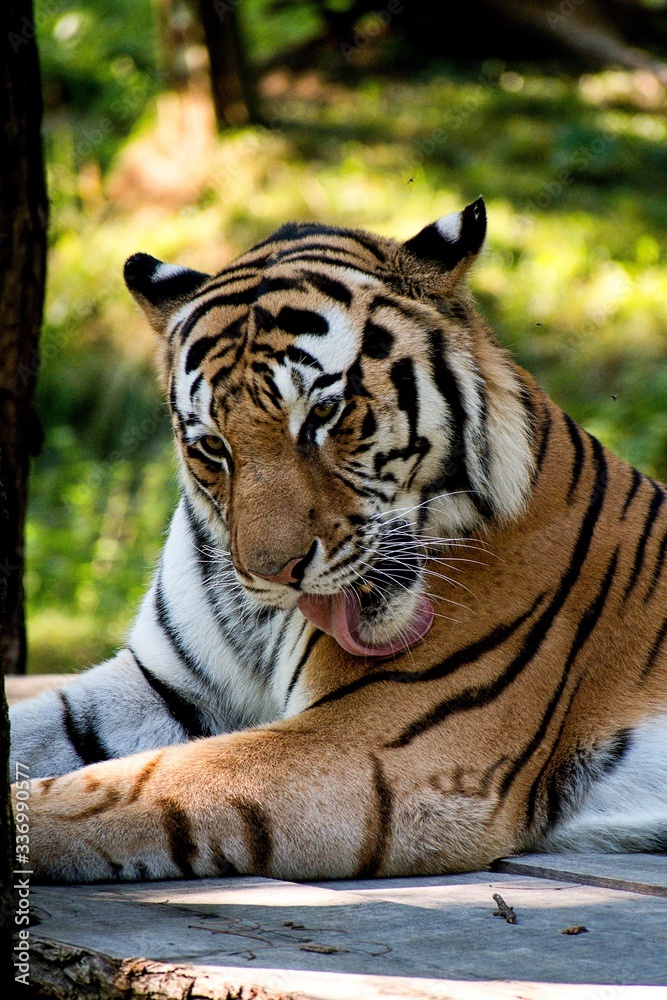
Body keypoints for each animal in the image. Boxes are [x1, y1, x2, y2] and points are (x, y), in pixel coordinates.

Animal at [8, 198, 667, 884]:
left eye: (324, 414)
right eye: (212, 445)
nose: (274, 573)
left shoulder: (384, 749)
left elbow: (131, 786)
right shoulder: (164, 685)